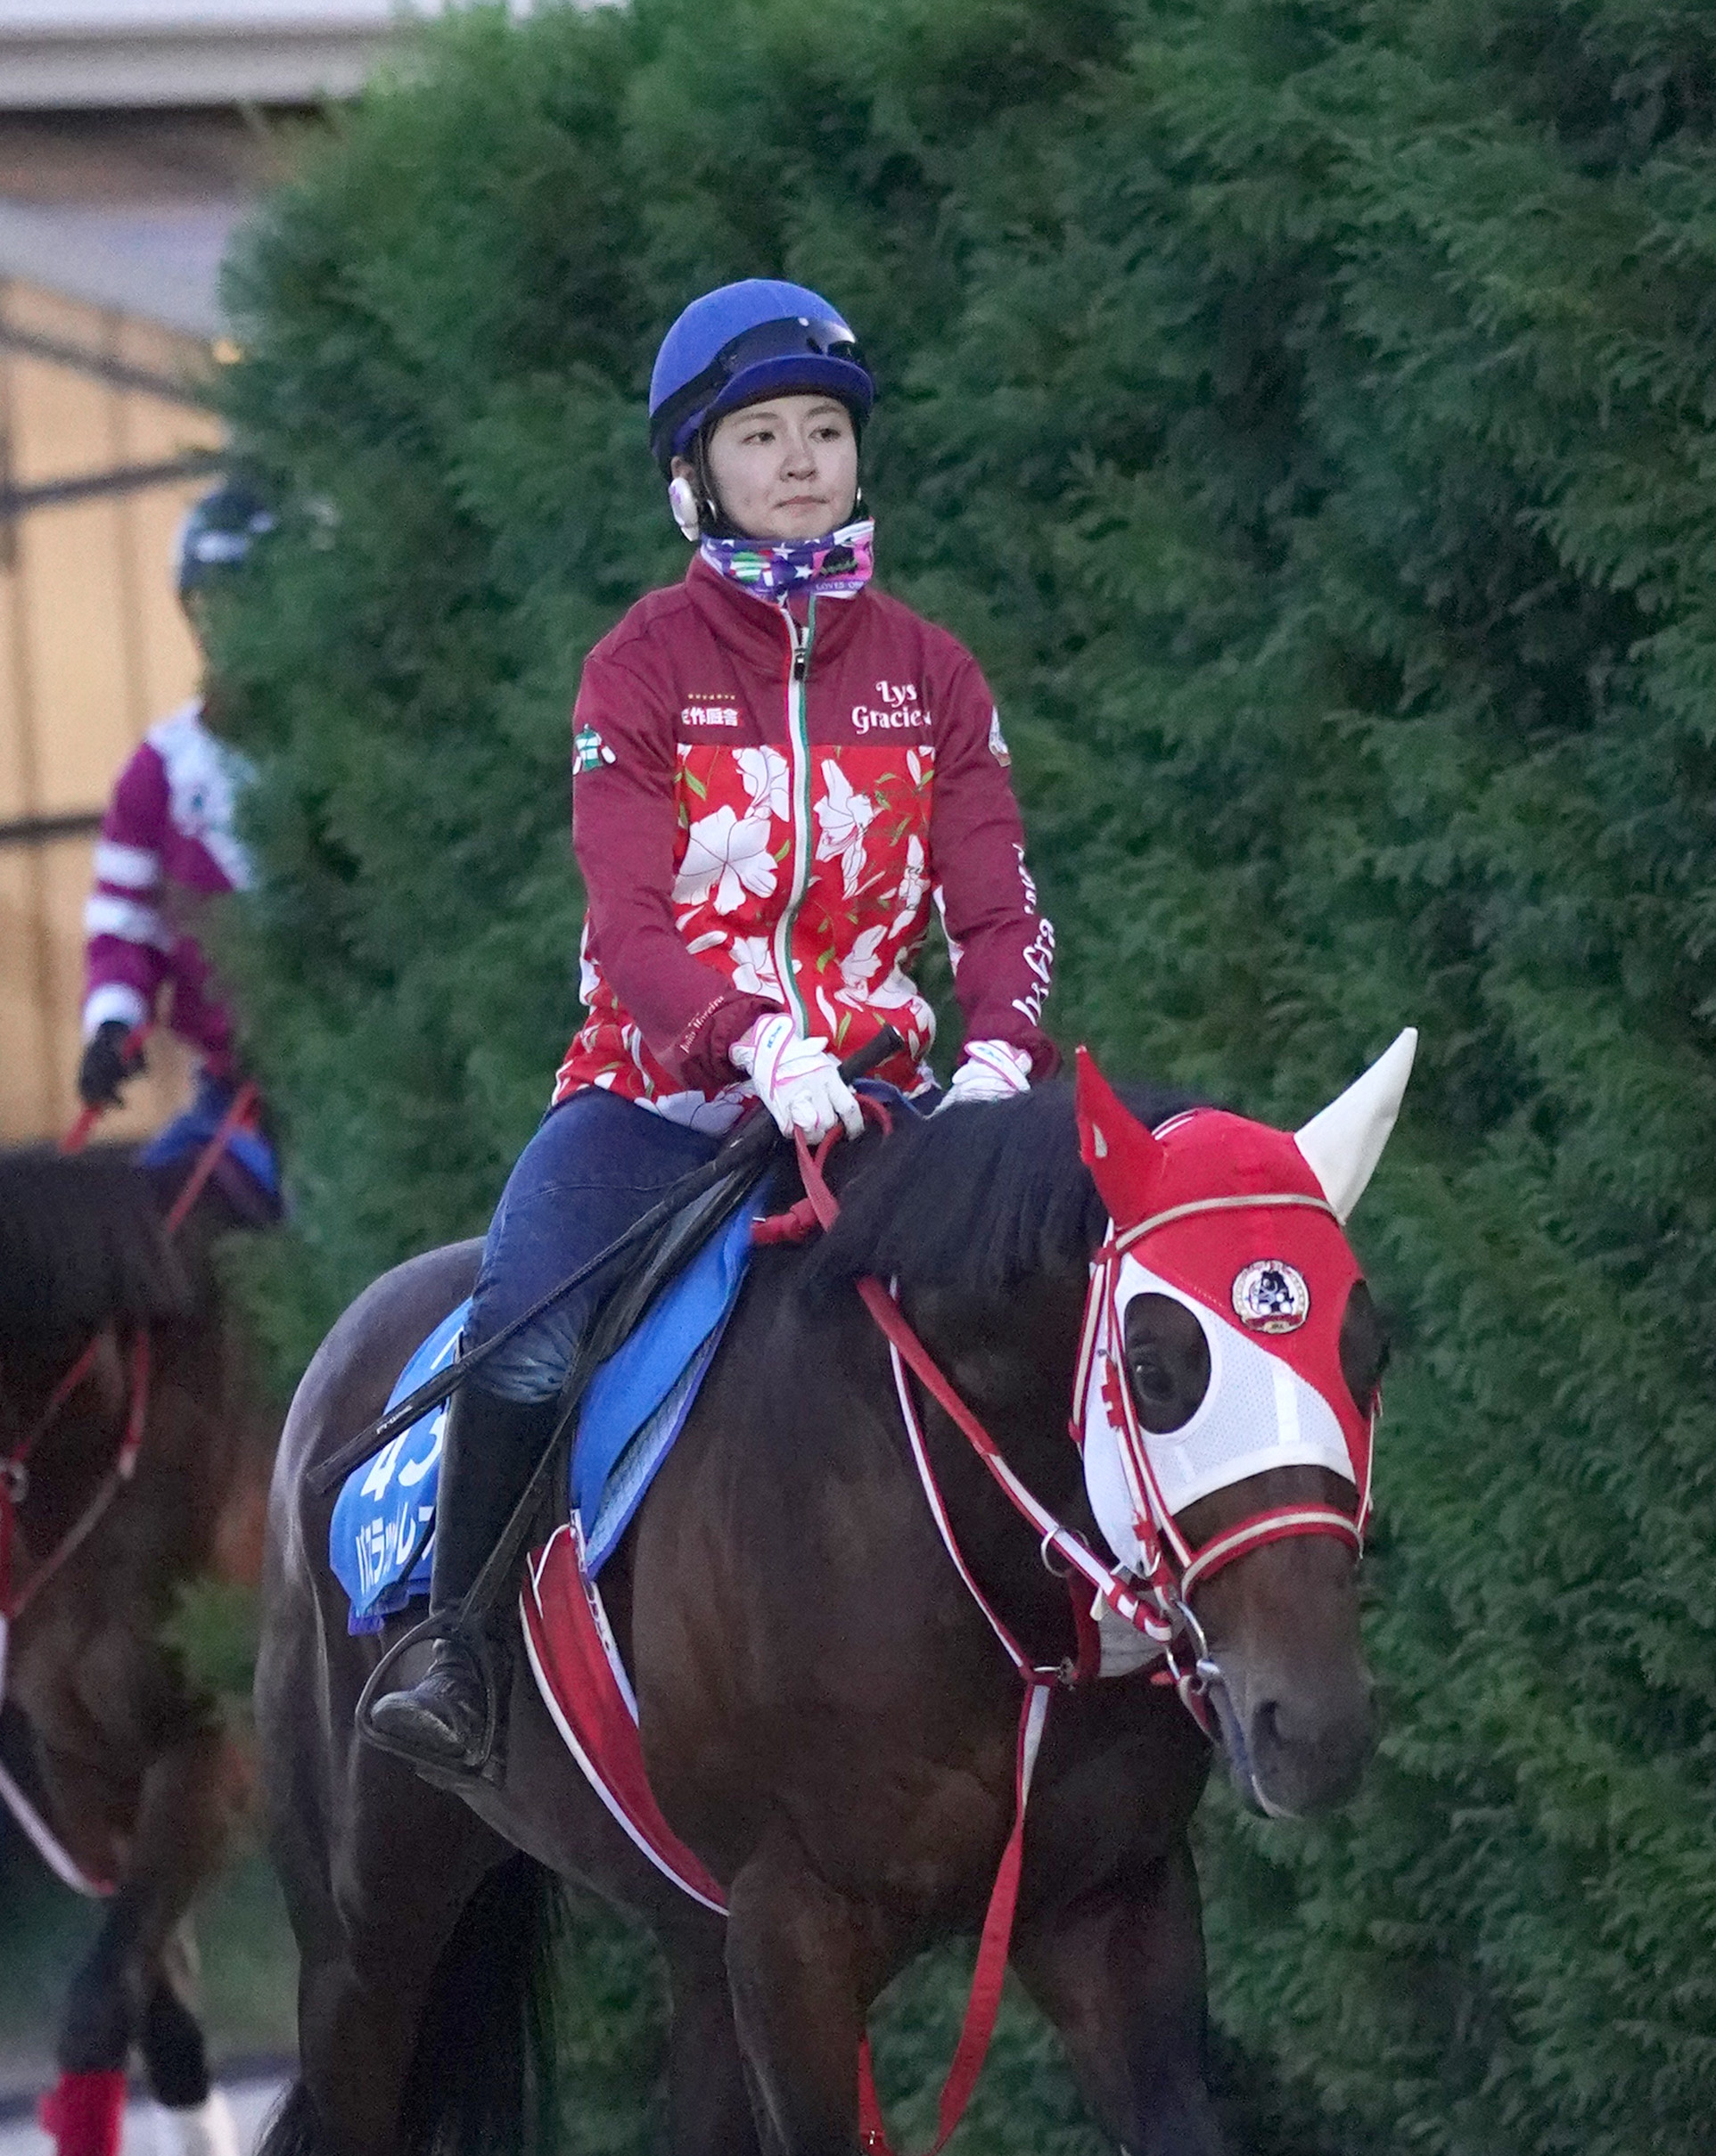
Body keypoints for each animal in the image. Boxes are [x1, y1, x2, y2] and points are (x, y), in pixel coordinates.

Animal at [257, 1056, 1405, 2156]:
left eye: (1367, 1352)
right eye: (1158, 1366)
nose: (1313, 1727)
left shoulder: (1111, 1910)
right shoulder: (791, 1937)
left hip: (691, 1939)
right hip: (363, 1940)